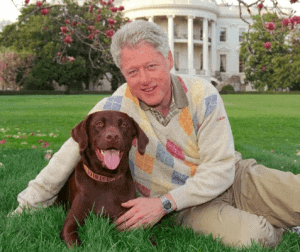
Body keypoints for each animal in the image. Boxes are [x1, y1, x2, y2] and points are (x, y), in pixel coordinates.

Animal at [55, 110, 149, 248]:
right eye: (99, 124)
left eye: (124, 125)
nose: (113, 136)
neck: (106, 178)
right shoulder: (71, 222)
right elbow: (74, 242)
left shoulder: (128, 218)